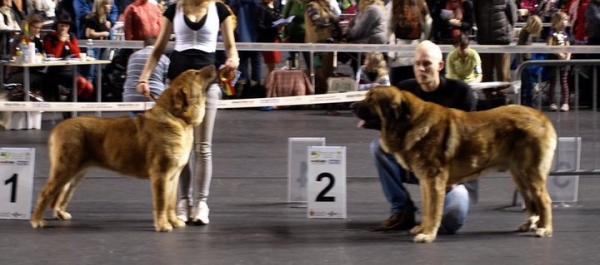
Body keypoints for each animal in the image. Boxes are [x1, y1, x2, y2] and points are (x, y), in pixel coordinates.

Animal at [352, 86, 556, 241]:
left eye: (371, 99)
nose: (353, 105)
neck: (409, 123)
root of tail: (542, 116)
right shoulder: (426, 181)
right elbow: (427, 209)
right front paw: (422, 229)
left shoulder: (433, 180)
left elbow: (434, 210)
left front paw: (428, 235)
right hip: (518, 175)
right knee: (531, 202)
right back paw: (530, 224)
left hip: (530, 173)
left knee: (544, 200)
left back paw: (544, 229)